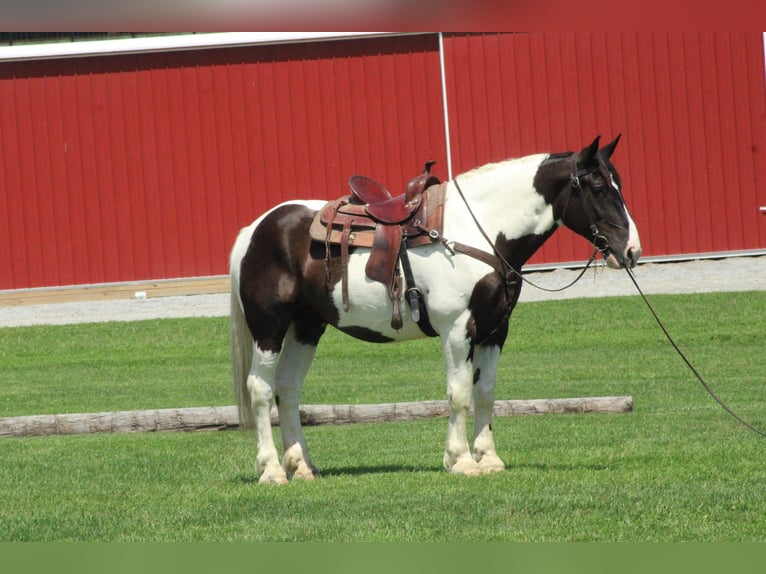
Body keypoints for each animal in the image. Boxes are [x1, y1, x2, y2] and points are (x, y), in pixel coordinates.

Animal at [229, 135, 642, 484]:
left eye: (619, 184)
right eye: (599, 188)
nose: (631, 251)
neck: (479, 232)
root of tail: (255, 229)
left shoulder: (495, 330)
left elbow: (485, 392)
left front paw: (488, 458)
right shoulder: (458, 330)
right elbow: (459, 394)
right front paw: (461, 461)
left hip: (306, 327)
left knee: (288, 388)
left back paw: (303, 466)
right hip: (270, 327)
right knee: (261, 389)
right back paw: (271, 470)